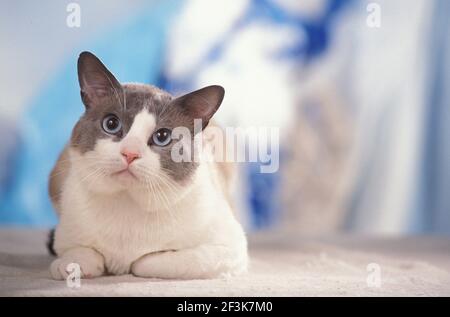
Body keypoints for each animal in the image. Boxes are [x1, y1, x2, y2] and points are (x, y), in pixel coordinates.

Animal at [48, 51, 250, 278]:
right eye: (111, 124)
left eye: (162, 136)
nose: (130, 153)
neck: (127, 202)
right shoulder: (66, 238)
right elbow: (80, 255)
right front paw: (72, 266)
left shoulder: (228, 249)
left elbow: (146, 262)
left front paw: (130, 263)